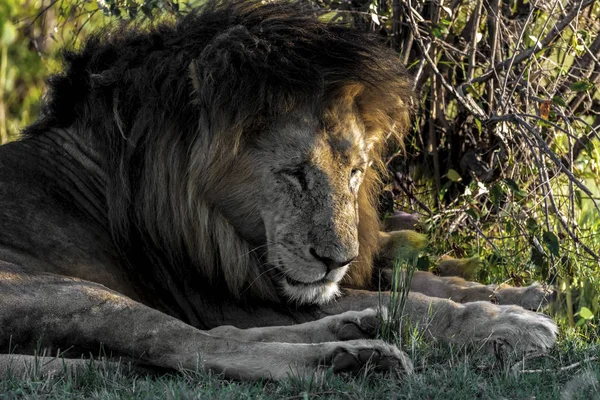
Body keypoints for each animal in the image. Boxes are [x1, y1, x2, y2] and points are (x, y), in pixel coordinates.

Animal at [0, 0, 556, 382]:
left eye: (355, 173)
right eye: (293, 173)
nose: (337, 261)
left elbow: (416, 282)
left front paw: (529, 294)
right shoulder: (227, 298)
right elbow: (420, 305)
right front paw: (513, 324)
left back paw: (357, 330)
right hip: (64, 289)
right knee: (191, 344)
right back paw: (352, 359)